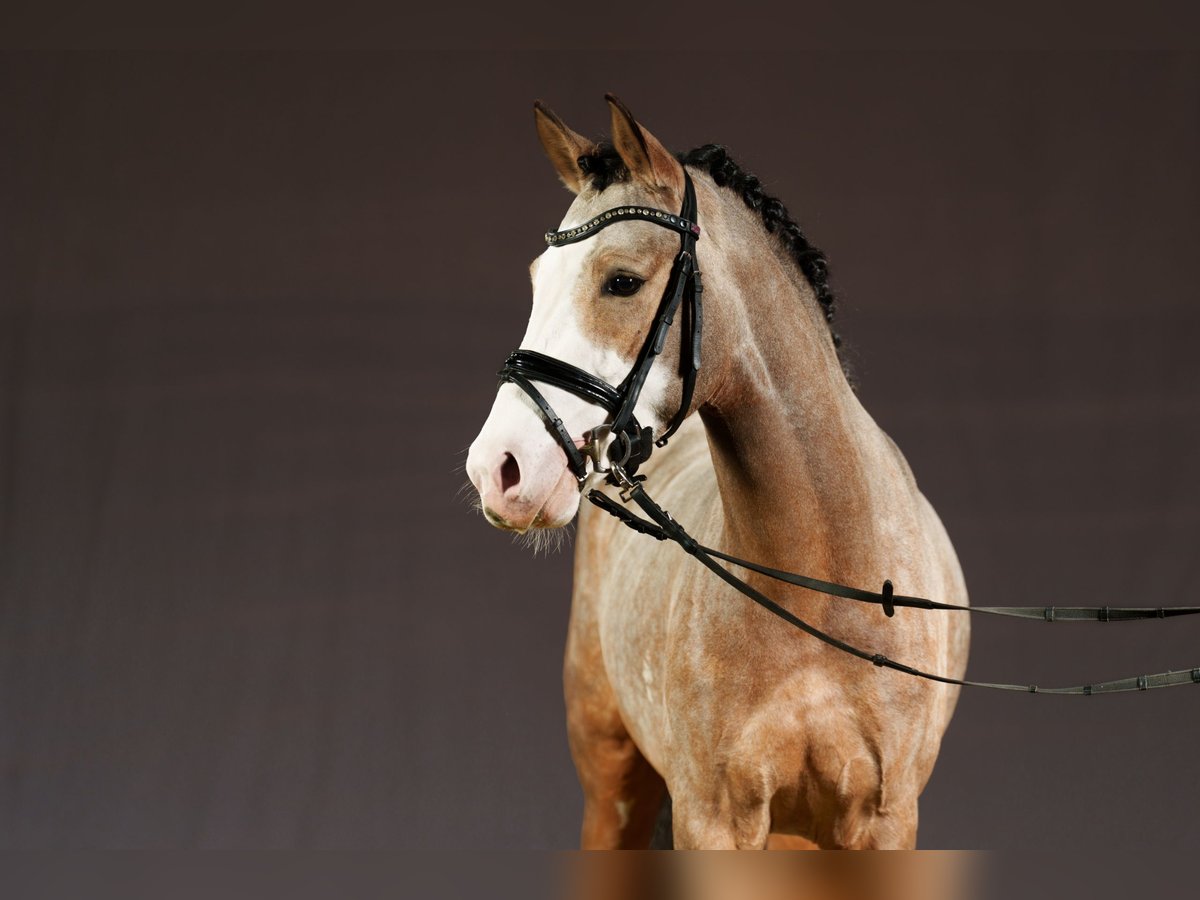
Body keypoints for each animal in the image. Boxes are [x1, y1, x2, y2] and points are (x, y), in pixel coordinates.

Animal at [463, 95, 969, 849]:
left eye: (621, 281)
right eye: (536, 281)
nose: (500, 468)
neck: (820, 580)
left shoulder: (882, 820)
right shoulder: (713, 818)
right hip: (612, 778)